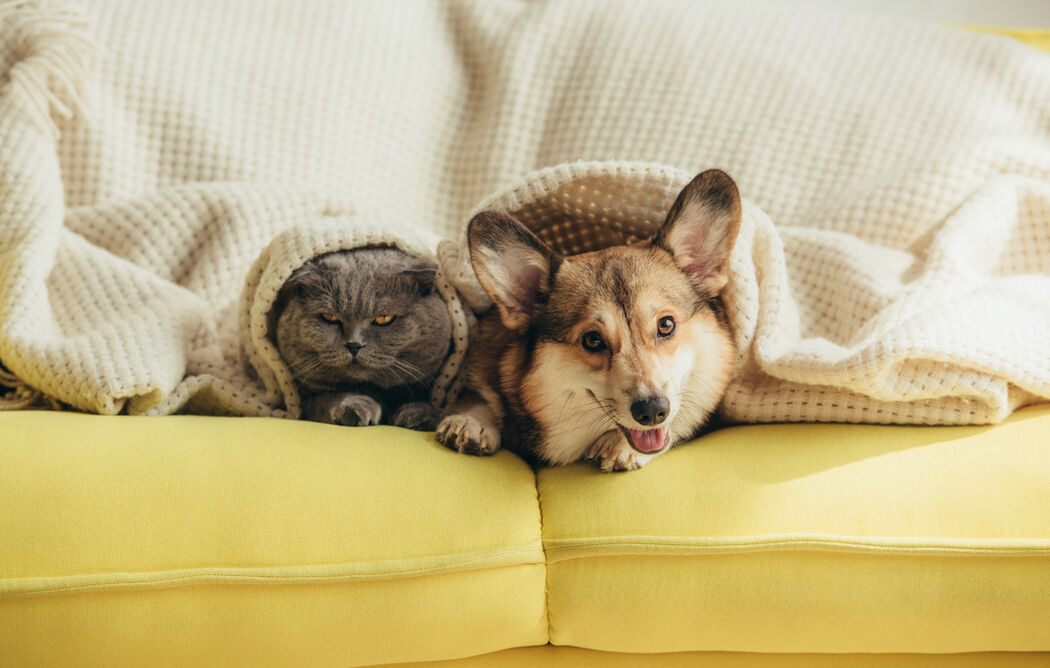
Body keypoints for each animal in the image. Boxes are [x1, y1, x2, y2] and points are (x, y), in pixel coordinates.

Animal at [275, 247, 451, 430]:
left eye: (384, 318)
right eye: (330, 317)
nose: (354, 344)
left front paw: (418, 415)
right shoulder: (307, 400)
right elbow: (328, 398)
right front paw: (356, 407)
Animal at [438, 169, 743, 472]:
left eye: (666, 325)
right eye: (593, 340)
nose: (653, 411)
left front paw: (619, 445)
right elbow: (479, 397)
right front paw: (471, 421)